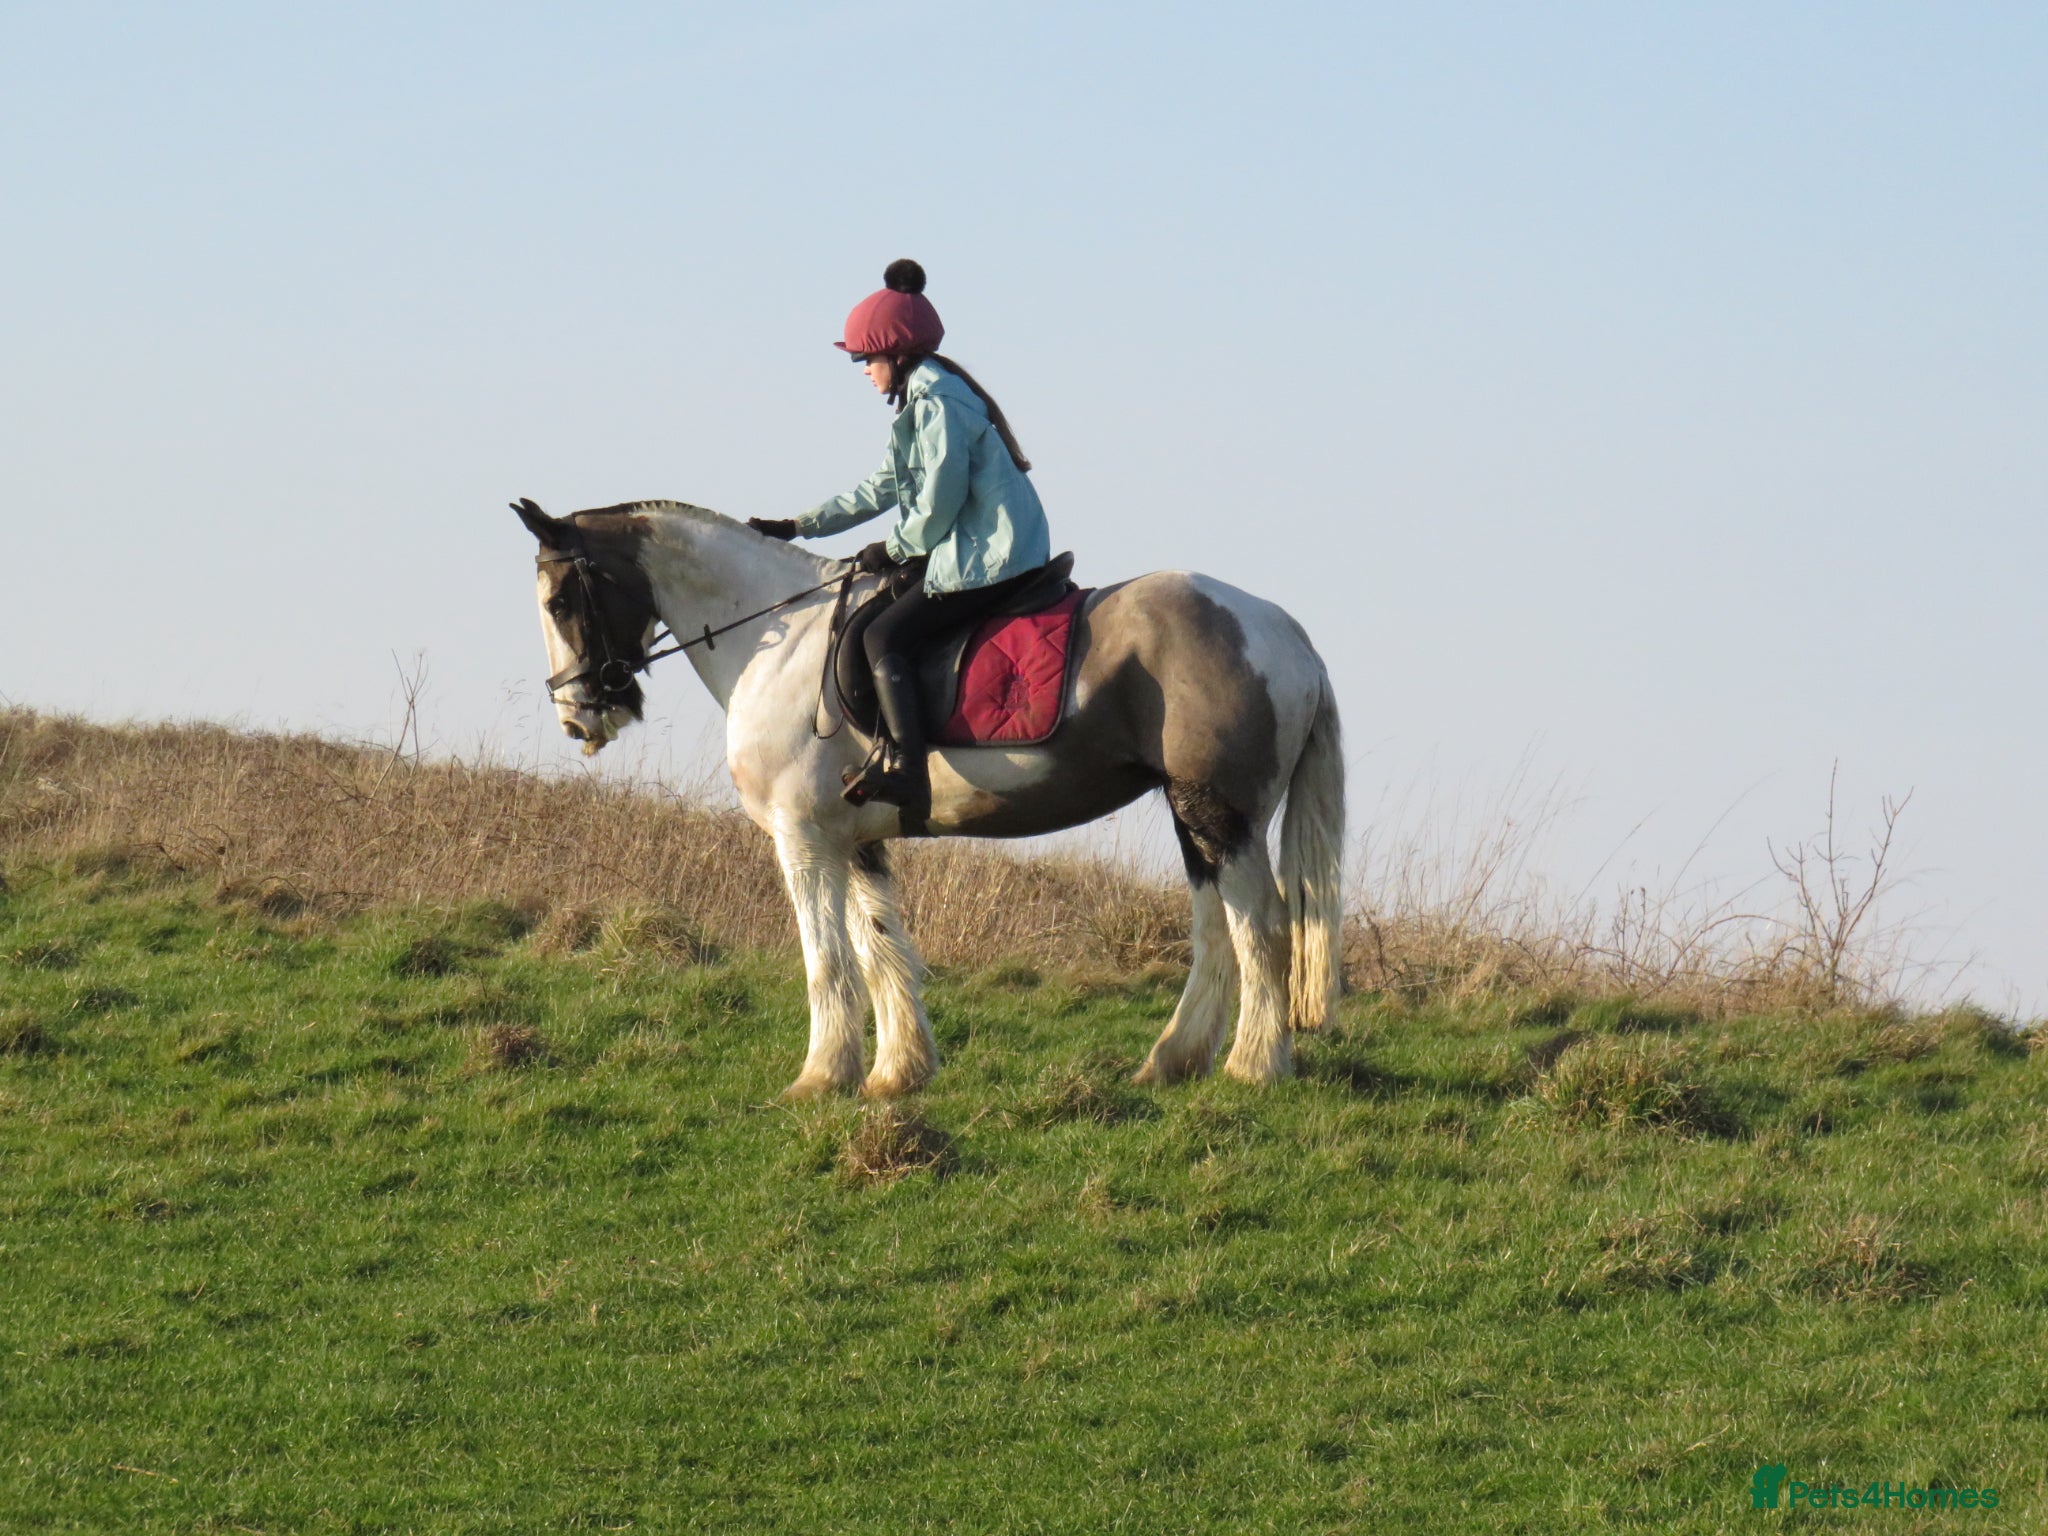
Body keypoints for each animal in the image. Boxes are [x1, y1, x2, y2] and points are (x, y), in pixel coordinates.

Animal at [513, 498, 1343, 1099]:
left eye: (559, 601)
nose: (577, 716)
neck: (777, 640)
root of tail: (1284, 633)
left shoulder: (802, 837)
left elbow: (828, 958)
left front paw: (821, 1077)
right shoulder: (855, 840)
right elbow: (881, 948)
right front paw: (896, 1073)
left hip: (1221, 815)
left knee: (1262, 927)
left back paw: (1254, 1066)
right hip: (1193, 817)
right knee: (1218, 930)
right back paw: (1173, 1061)